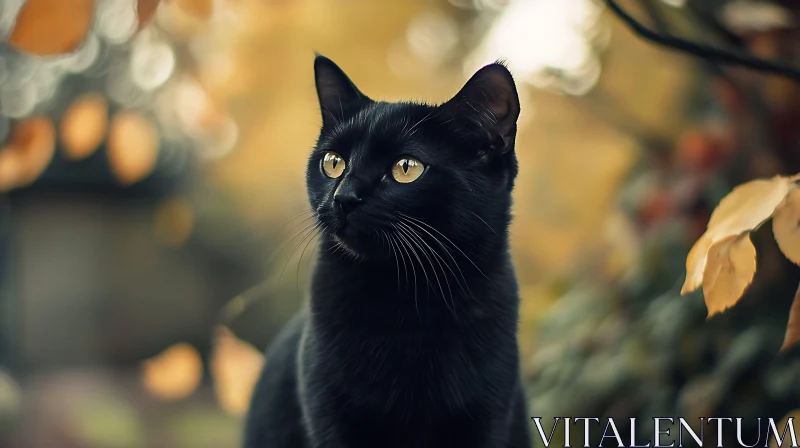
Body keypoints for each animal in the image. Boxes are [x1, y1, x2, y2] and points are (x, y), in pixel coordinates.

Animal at [244, 56, 532, 448]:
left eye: (406, 168)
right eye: (333, 162)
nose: (344, 197)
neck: (405, 297)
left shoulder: (488, 418)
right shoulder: (329, 416)